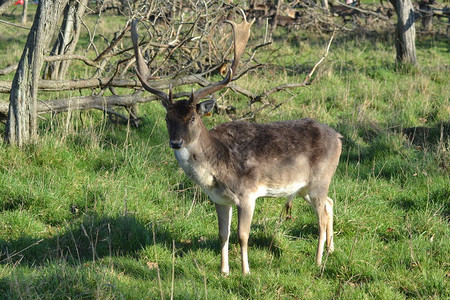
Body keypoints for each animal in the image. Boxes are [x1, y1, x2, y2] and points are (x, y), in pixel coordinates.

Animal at [132, 11, 342, 274]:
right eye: (167, 118)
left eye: (192, 118)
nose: (176, 142)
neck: (215, 171)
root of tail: (339, 138)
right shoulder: (220, 199)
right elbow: (223, 234)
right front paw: (223, 271)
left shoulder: (247, 193)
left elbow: (243, 235)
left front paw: (245, 271)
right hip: (304, 187)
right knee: (330, 203)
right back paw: (332, 250)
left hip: (320, 180)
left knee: (322, 216)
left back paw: (318, 260)